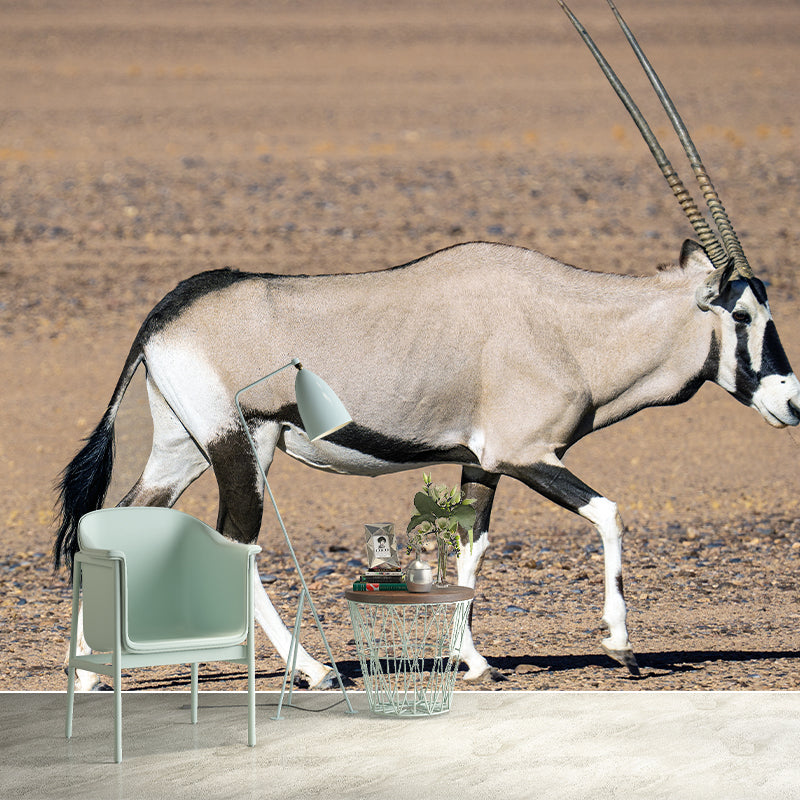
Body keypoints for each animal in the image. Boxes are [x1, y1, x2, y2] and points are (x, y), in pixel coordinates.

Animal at [56, 0, 800, 690]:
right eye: (742, 314)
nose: (792, 403)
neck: (570, 327)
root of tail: (166, 314)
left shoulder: (484, 461)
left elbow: (471, 548)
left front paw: (471, 660)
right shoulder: (529, 453)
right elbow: (609, 515)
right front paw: (620, 645)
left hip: (187, 446)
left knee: (126, 519)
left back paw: (91, 673)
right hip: (238, 449)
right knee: (234, 544)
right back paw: (314, 670)